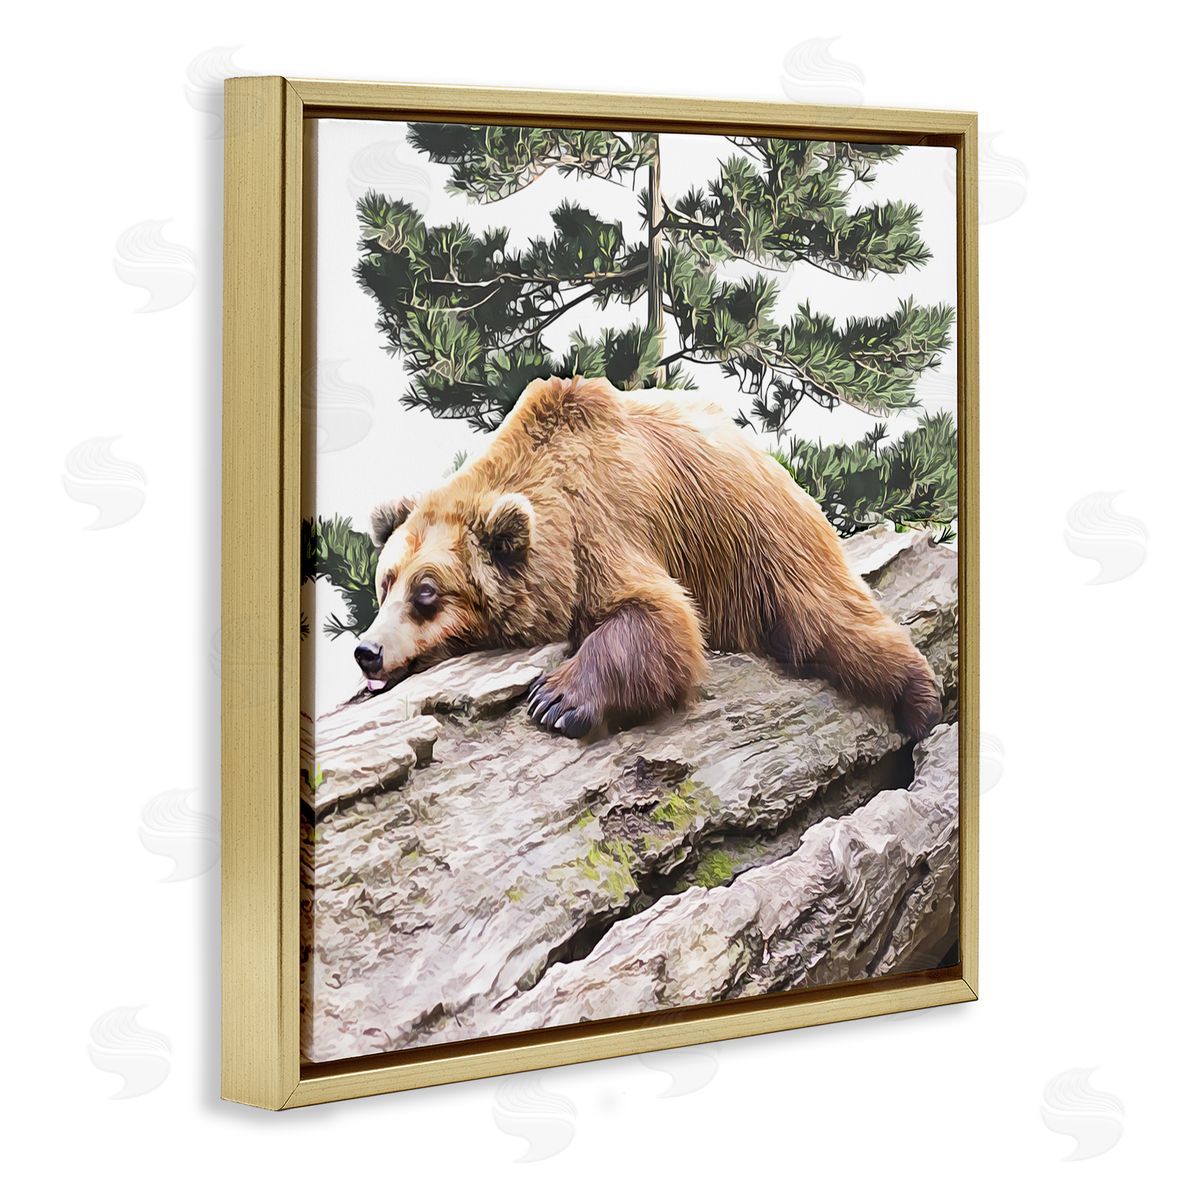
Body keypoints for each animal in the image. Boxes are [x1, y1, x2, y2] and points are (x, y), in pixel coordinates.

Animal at [355, 375, 942, 740]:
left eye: (427, 592)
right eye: (386, 583)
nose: (368, 651)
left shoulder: (602, 524)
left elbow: (661, 618)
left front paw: (556, 700)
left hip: (762, 539)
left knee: (831, 621)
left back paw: (921, 699)